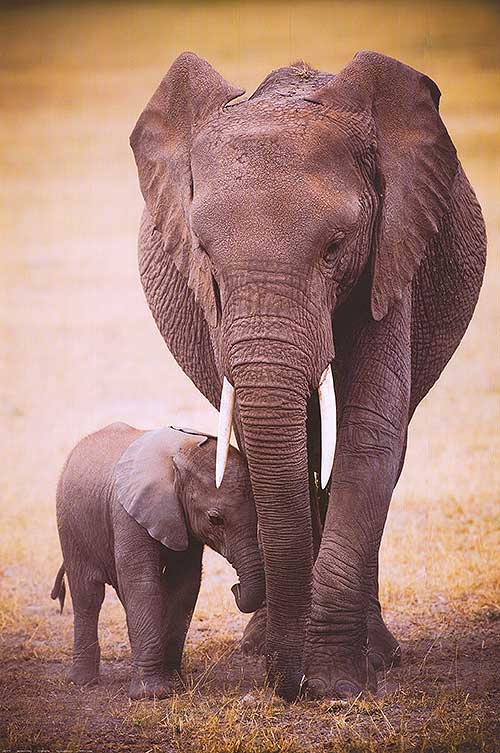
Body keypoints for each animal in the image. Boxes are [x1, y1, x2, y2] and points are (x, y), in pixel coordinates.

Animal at [51, 422, 264, 700]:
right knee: (87, 595)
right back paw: (83, 681)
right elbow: (142, 584)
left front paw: (174, 684)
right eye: (215, 519)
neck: (179, 455)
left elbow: (184, 585)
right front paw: (151, 694)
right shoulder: (127, 512)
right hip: (70, 525)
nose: (235, 588)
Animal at [129, 51, 486, 700]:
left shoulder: (390, 254)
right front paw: (296, 669)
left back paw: (376, 654)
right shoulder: (213, 304)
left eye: (336, 246)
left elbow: (369, 435)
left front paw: (337, 685)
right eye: (203, 252)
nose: (284, 684)